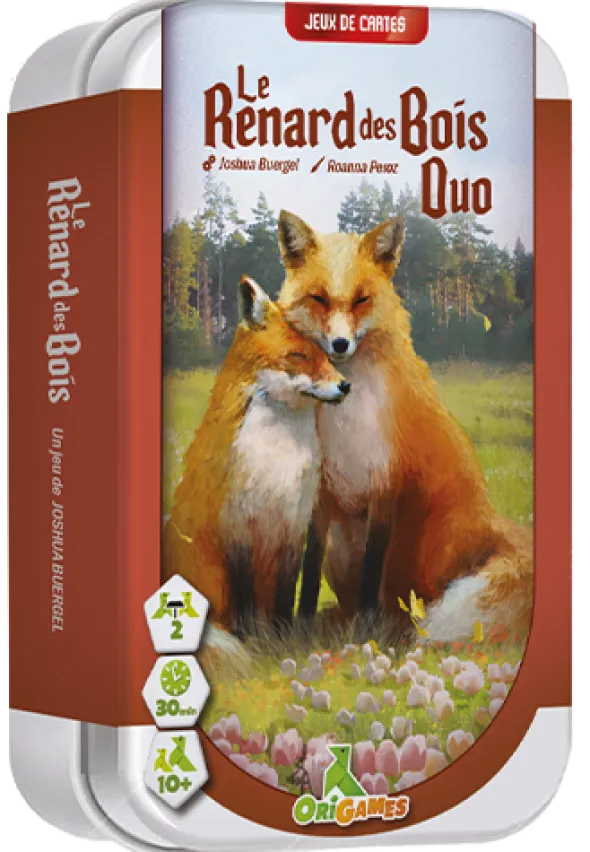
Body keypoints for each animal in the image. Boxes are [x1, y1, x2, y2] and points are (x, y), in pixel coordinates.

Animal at [163, 275, 350, 639]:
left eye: (327, 356)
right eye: (298, 355)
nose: (345, 386)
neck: (277, 458)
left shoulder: (293, 523)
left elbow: (285, 593)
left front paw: (282, 637)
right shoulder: (237, 524)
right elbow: (244, 595)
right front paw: (248, 636)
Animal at [277, 211, 533, 641]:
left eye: (362, 299)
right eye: (319, 299)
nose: (340, 345)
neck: (345, 420)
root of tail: (492, 522)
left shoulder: (384, 484)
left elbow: (372, 569)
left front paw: (363, 633)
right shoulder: (322, 493)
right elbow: (309, 569)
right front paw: (298, 626)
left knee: (410, 602)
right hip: (343, 544)